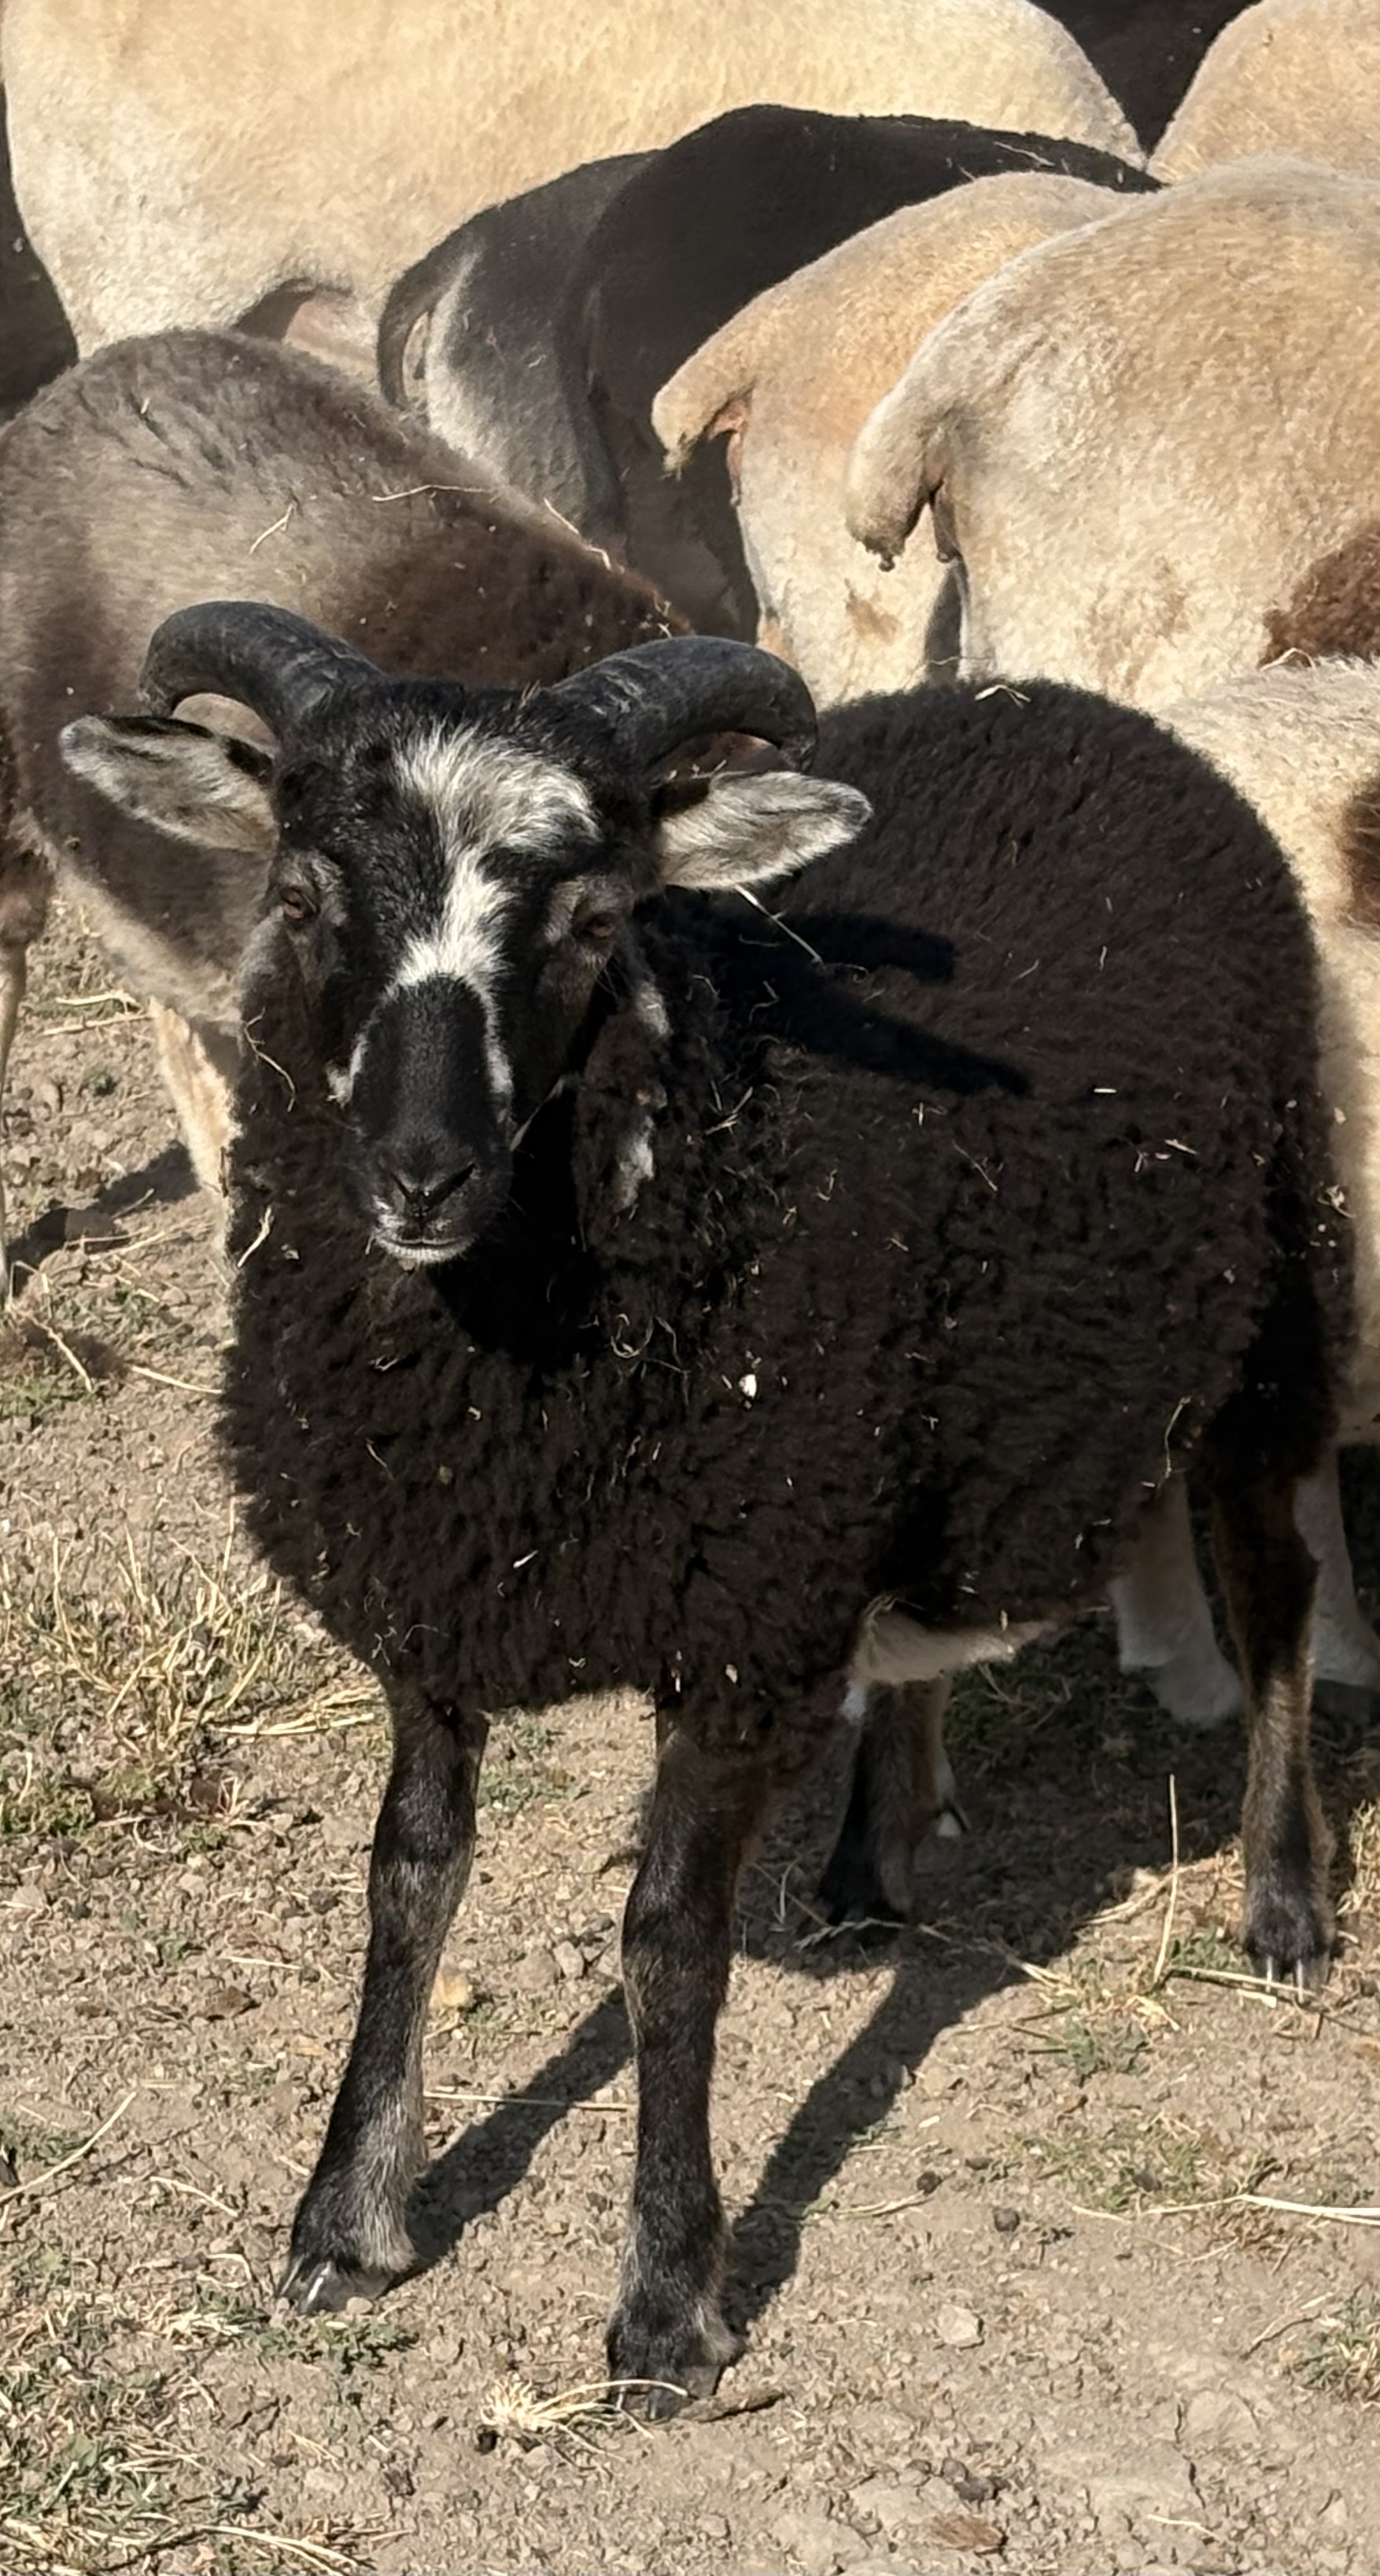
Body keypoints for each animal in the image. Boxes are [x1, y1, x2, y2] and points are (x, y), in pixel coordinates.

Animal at [66, 613, 1349, 2403]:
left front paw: (667, 2300)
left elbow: (667, 1937)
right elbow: (408, 1877)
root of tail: (1054, 698)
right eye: (305, 897)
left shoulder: (733, 1618)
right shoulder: (441, 1595)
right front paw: (348, 2213)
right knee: (919, 1631)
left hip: (1269, 1282)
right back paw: (875, 1856)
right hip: (904, 1422)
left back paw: (1281, 1900)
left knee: (1273, 1577)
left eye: (596, 920)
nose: (418, 1172)